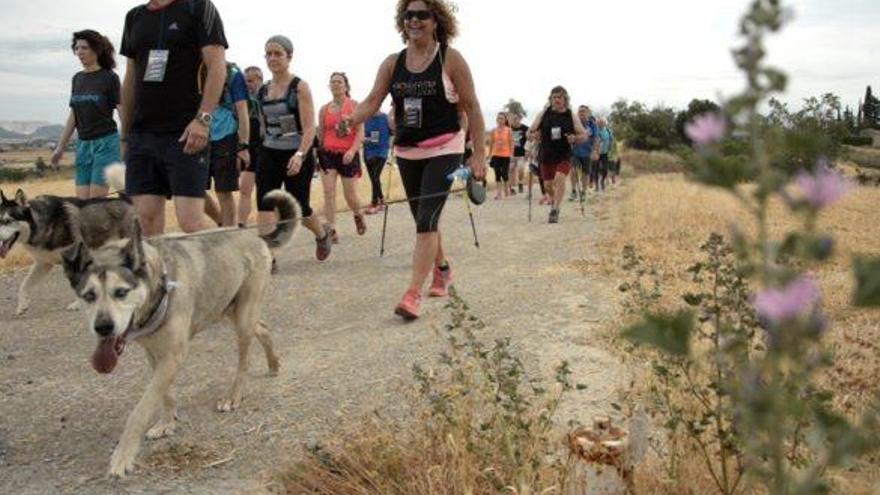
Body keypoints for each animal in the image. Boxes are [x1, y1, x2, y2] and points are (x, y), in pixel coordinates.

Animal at [62, 189, 300, 476]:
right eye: (88, 296)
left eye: (121, 292)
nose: (103, 327)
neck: (159, 284)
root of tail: (255, 236)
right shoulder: (156, 354)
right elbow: (164, 394)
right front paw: (167, 422)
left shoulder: (173, 356)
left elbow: (141, 410)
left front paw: (123, 456)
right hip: (225, 308)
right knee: (263, 328)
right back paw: (273, 363)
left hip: (242, 317)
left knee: (244, 360)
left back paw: (233, 395)